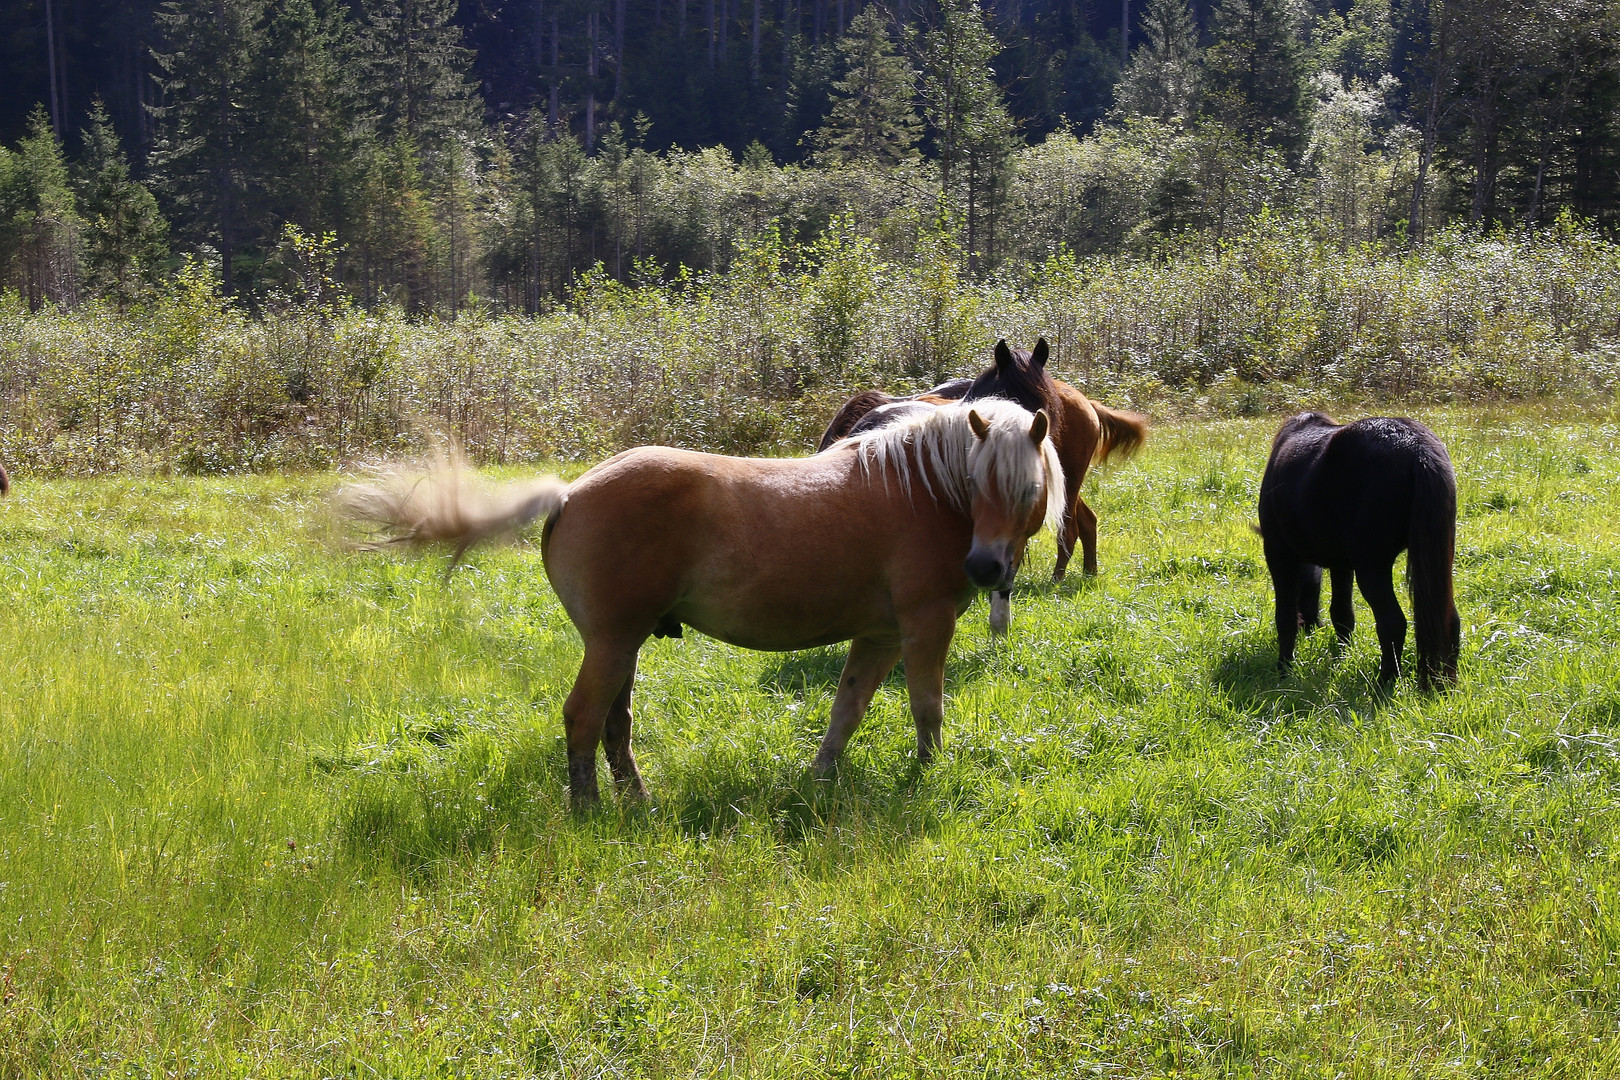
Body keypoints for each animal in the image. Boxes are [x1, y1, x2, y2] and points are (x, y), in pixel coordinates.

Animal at [336, 396, 1069, 803]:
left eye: (1027, 490)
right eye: (981, 484)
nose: (985, 565)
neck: (923, 491)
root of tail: (570, 493)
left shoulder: (880, 635)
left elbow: (847, 710)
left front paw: (819, 779)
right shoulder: (923, 627)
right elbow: (926, 709)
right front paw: (927, 775)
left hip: (624, 645)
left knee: (615, 724)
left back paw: (637, 803)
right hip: (611, 642)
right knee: (583, 719)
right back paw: (588, 810)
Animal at [816, 338, 1146, 634]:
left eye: (1046, 407)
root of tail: (1086, 401)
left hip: (1069, 483)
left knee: (1071, 528)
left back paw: (1065, 579)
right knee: (1084, 523)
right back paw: (1084, 575)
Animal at [1257, 409, 1464, 689]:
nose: (1311, 627)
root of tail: (1418, 448)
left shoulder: (1279, 553)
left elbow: (1286, 616)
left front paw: (1283, 672)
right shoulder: (1341, 564)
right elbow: (1342, 614)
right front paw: (1342, 657)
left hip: (1372, 567)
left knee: (1393, 622)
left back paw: (1385, 682)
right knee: (1449, 620)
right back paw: (1444, 685)